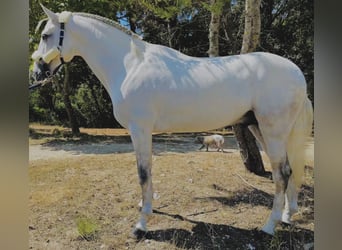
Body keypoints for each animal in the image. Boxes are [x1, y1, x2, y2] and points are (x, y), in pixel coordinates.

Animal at [31, 4, 312, 237]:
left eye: (46, 35)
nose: (37, 72)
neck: (130, 66)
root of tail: (296, 73)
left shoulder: (140, 130)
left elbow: (143, 173)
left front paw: (141, 225)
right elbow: (148, 173)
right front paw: (145, 206)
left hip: (272, 130)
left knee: (281, 174)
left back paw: (269, 227)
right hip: (260, 129)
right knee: (288, 171)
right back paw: (286, 216)